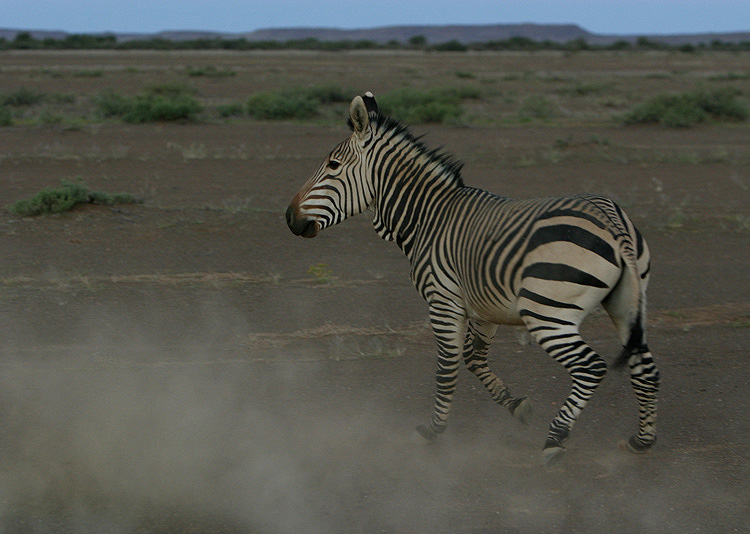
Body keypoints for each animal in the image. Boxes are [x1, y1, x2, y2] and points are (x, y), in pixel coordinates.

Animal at [284, 93, 660, 468]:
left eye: (333, 165)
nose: (289, 217)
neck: (428, 218)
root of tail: (612, 222)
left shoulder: (443, 302)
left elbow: (447, 368)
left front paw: (433, 430)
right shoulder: (483, 308)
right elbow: (473, 358)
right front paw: (517, 406)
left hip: (548, 314)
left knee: (590, 367)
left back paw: (555, 439)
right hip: (625, 307)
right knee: (646, 370)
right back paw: (641, 441)